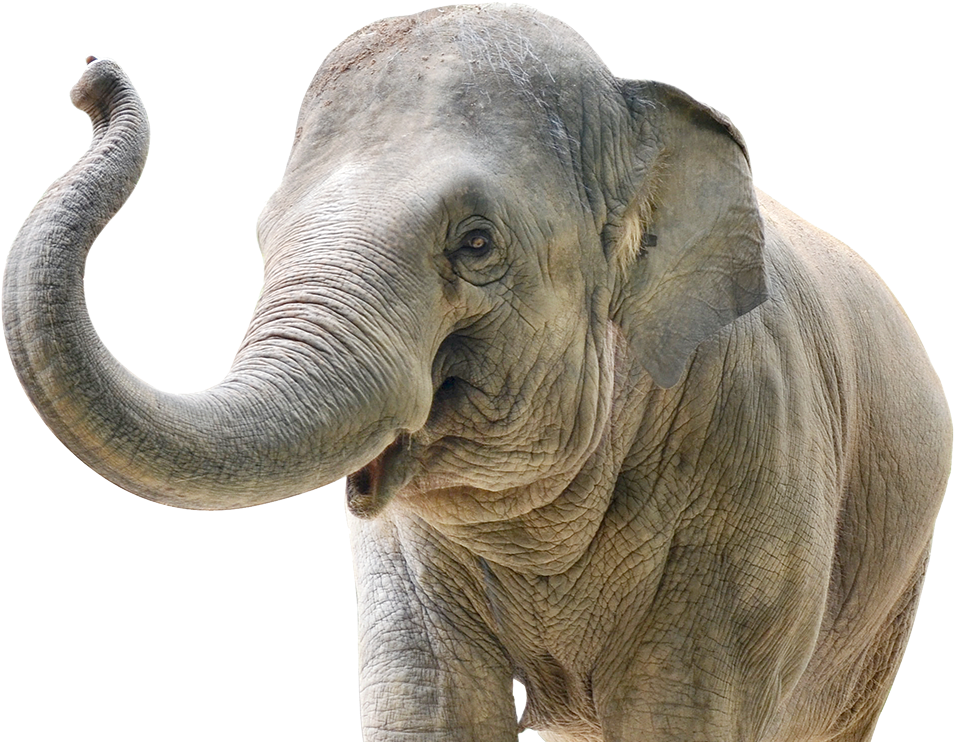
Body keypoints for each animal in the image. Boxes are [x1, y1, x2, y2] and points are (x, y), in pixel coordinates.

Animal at [3, 3, 950, 740]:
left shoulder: (753, 488)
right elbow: (432, 703)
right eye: (265, 235)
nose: (89, 78)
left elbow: (678, 714)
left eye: (478, 244)